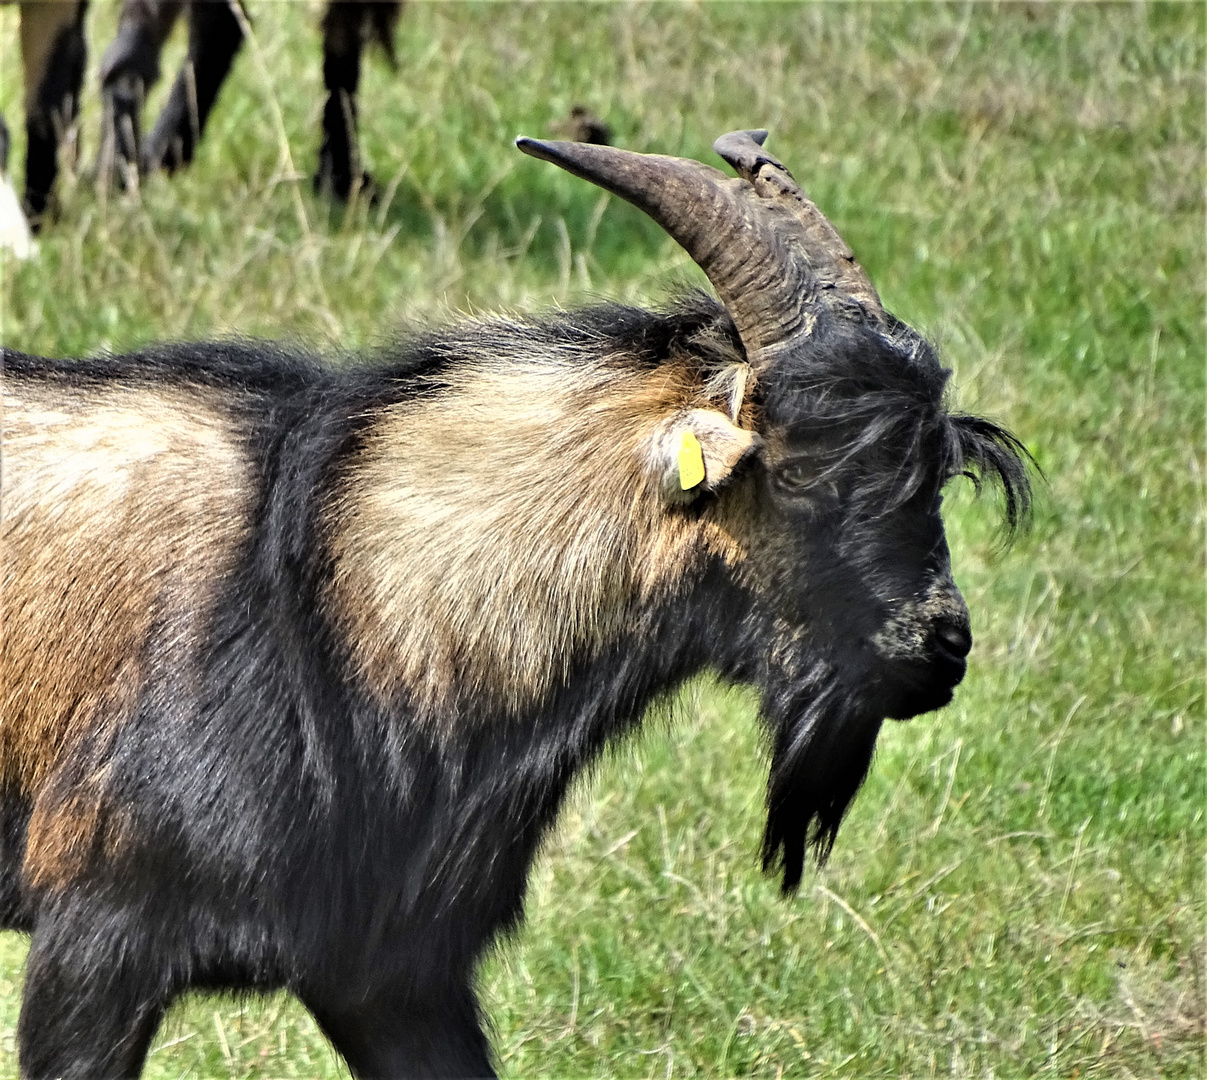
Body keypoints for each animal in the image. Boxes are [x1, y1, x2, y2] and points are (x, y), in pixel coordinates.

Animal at [2, 130, 1028, 1076]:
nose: (940, 645)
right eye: (805, 467)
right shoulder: (98, 938)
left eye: (934, 468)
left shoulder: (390, 975)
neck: (335, 596)